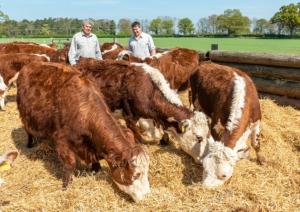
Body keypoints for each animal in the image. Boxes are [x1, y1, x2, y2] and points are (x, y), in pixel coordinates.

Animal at [17, 61, 150, 202]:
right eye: (136, 175)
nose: (146, 195)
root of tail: (31, 64)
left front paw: (96, 169)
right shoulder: (62, 141)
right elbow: (70, 165)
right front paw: (66, 186)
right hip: (25, 117)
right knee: (28, 132)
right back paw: (30, 144)